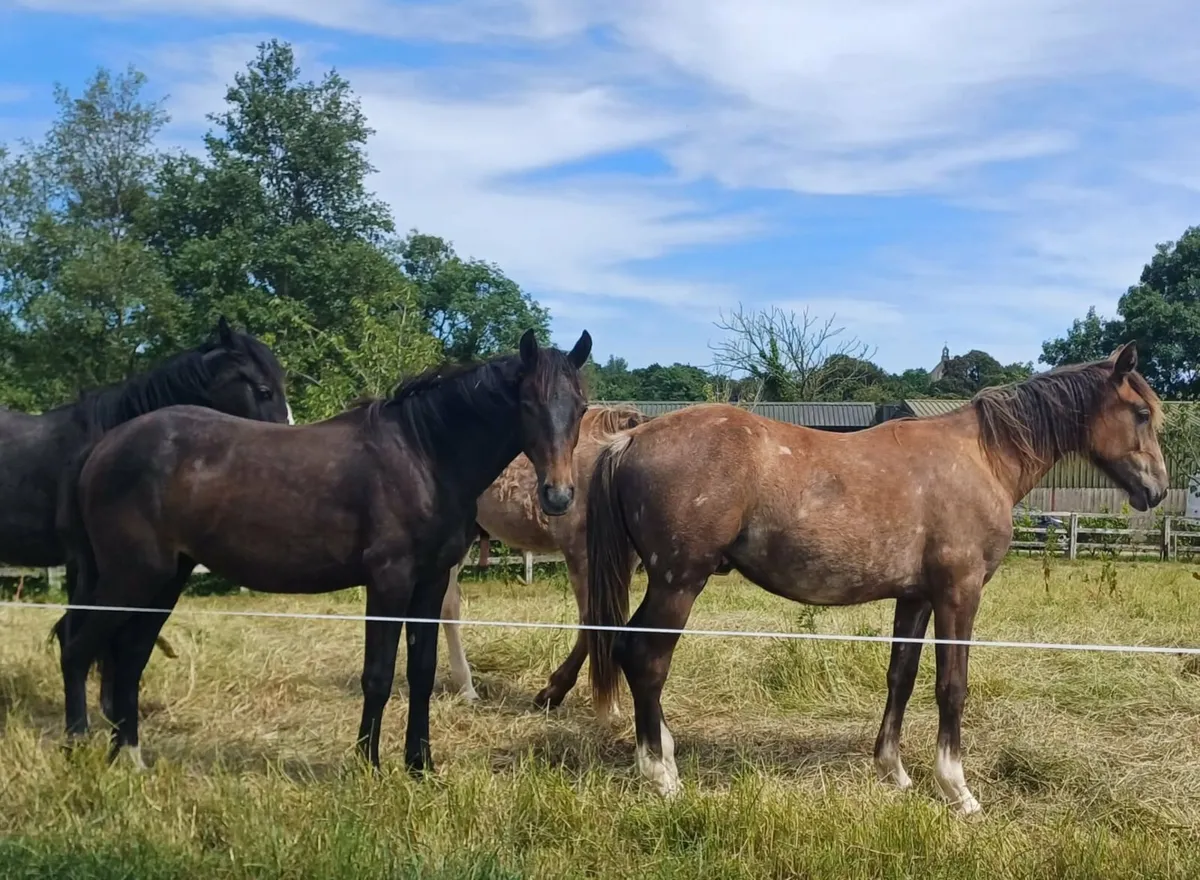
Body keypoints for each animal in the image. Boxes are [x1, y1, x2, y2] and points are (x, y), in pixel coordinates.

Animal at [56, 329, 592, 774]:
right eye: (527, 403)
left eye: (581, 407)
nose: (558, 496)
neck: (423, 455)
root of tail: (102, 450)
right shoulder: (389, 580)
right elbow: (378, 675)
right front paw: (368, 766)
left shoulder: (431, 581)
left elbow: (420, 672)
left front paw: (420, 766)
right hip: (132, 578)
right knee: (76, 647)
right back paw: (77, 750)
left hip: (164, 580)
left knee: (127, 658)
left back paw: (128, 757)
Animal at [583, 343, 1167, 816]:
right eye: (1141, 413)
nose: (1157, 489)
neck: (981, 457)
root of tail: (629, 439)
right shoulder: (959, 593)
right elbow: (952, 687)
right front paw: (957, 790)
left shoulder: (916, 598)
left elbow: (900, 678)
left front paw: (895, 772)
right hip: (678, 581)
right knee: (647, 660)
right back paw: (661, 775)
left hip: (666, 582)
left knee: (629, 649)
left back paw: (663, 753)